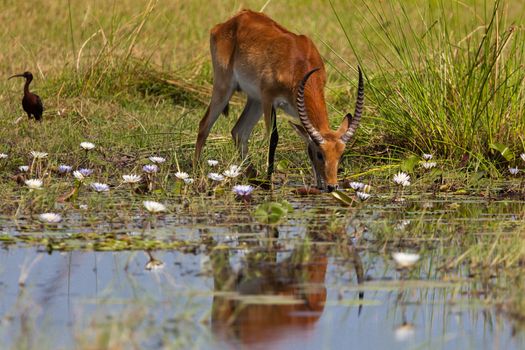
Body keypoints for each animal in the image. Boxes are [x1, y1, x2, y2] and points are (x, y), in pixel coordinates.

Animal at [194, 10, 362, 191]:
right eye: (320, 154)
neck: (298, 63)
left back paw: (253, 177)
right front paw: (270, 182)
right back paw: (197, 173)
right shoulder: (269, 99)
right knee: (204, 125)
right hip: (224, 87)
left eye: (341, 154)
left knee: (239, 131)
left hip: (255, 100)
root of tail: (233, 19)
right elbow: (273, 138)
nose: (331, 186)